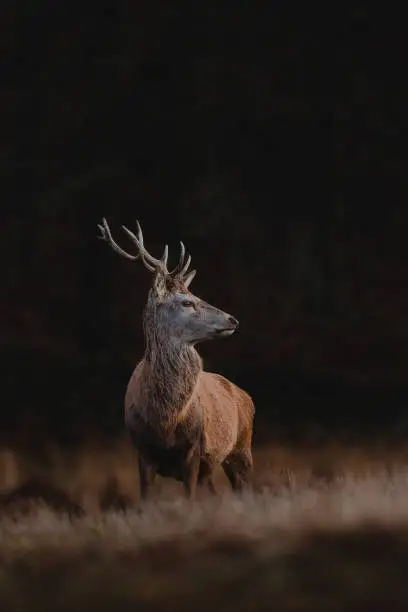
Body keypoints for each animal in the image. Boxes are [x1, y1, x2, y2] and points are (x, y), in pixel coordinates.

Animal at [97, 218, 253, 500]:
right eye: (187, 302)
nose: (233, 319)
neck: (165, 422)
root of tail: (245, 395)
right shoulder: (142, 451)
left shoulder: (193, 449)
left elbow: (189, 499)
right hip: (215, 466)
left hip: (242, 447)